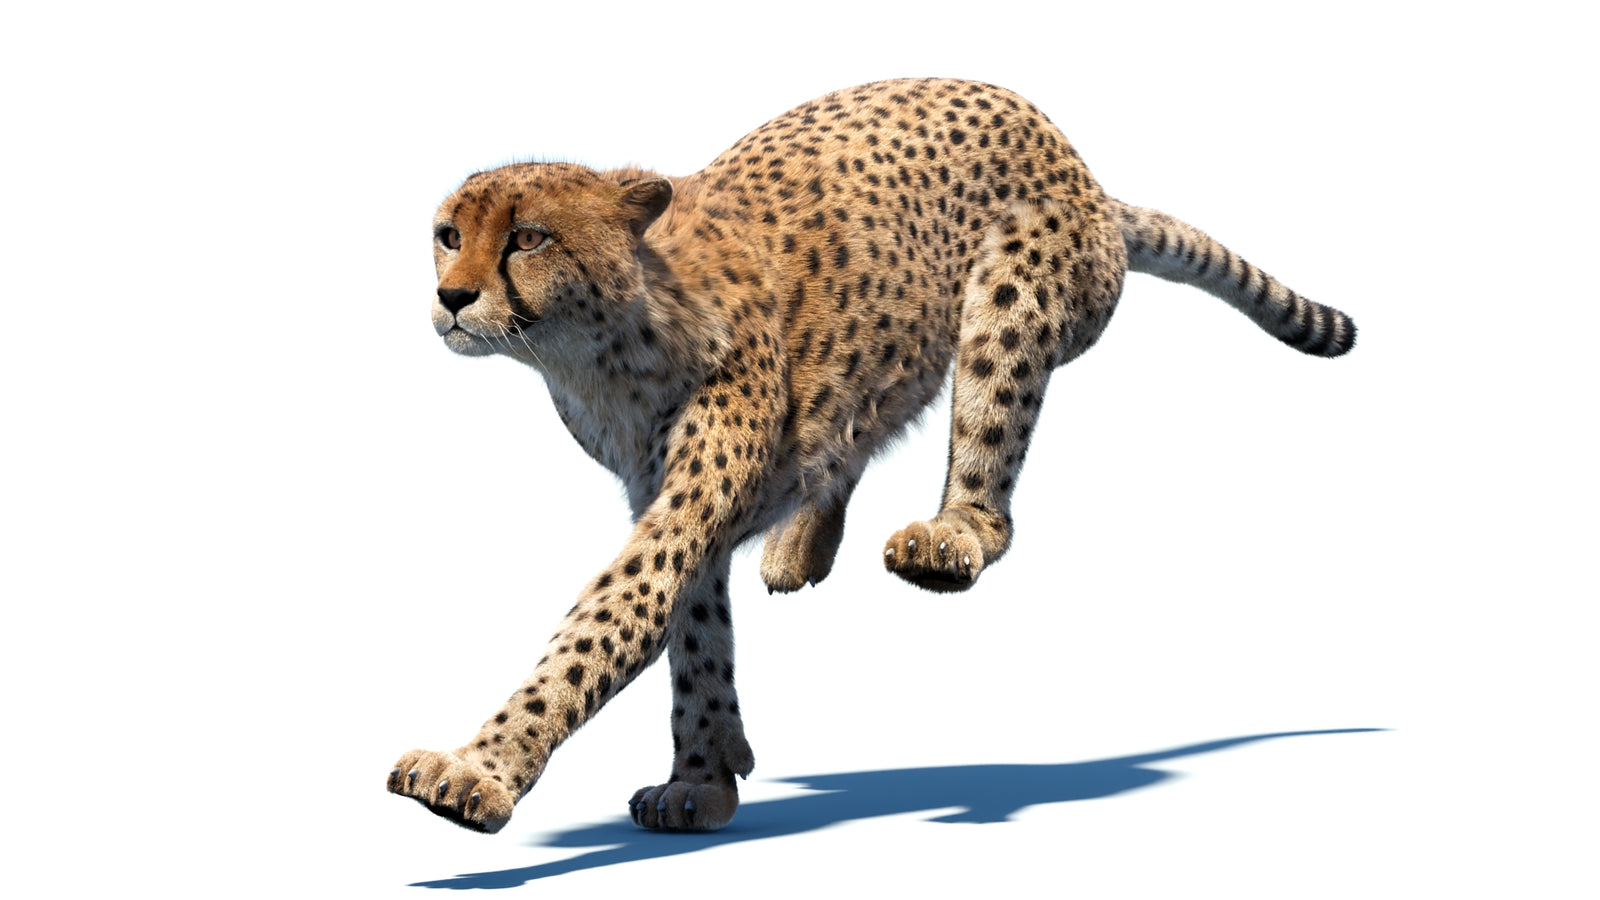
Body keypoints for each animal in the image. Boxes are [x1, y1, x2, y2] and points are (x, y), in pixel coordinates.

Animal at [387, 77, 1356, 834]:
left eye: (528, 237)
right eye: (447, 234)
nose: (451, 297)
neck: (599, 344)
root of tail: (1079, 165)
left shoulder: (682, 504)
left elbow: (604, 624)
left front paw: (476, 769)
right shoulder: (664, 497)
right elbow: (694, 637)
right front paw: (703, 775)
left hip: (1011, 297)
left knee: (988, 472)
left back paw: (947, 536)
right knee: (846, 438)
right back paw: (803, 543)